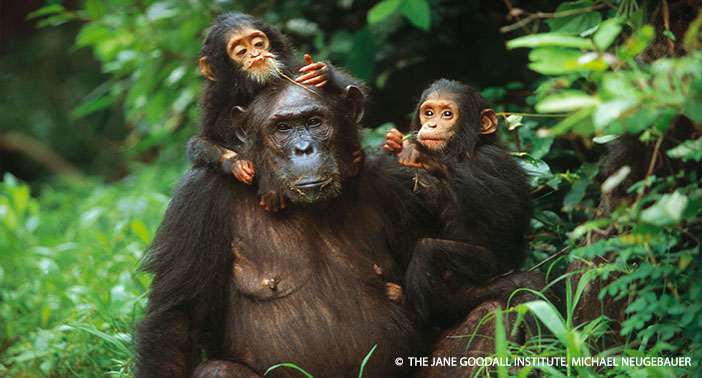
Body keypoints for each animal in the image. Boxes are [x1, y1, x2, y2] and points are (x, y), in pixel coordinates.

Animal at [135, 80, 426, 378]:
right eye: (282, 128)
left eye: (314, 122)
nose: (304, 148)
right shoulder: (197, 199)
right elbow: (179, 318)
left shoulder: (398, 185)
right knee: (217, 370)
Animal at [187, 11, 364, 211]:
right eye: (241, 51)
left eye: (258, 43)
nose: (256, 54)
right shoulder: (214, 101)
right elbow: (201, 141)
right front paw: (236, 163)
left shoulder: (292, 68)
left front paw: (322, 71)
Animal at [382, 79, 536, 328]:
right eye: (428, 112)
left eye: (447, 114)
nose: (432, 124)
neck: (464, 153)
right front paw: (398, 146)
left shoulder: (494, 161)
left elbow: (503, 215)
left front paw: (426, 157)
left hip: (489, 268)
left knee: (429, 249)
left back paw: (411, 309)